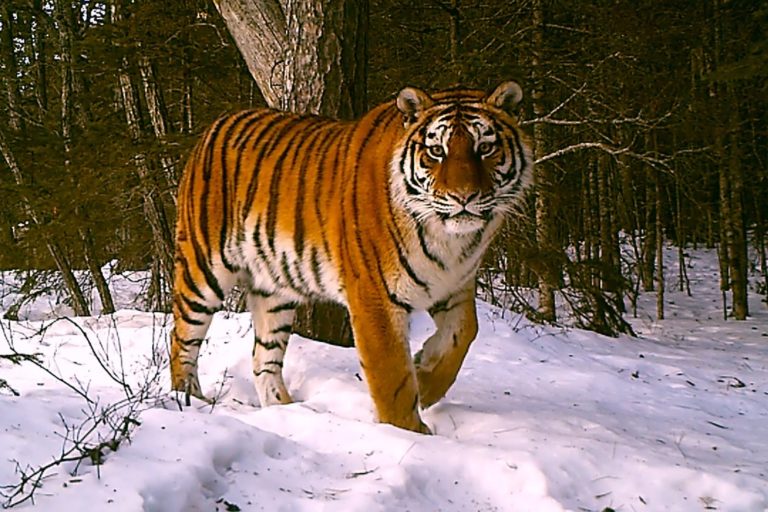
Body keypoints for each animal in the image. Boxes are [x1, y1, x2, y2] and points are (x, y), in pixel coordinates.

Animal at [172, 82, 536, 434]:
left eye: (485, 148)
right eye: (436, 151)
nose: (464, 197)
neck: (451, 241)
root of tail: (217, 123)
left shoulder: (454, 285)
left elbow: (464, 334)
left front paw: (426, 381)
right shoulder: (375, 297)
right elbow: (392, 376)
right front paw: (409, 432)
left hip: (273, 289)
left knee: (264, 359)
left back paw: (285, 410)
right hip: (202, 271)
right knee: (182, 341)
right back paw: (187, 401)